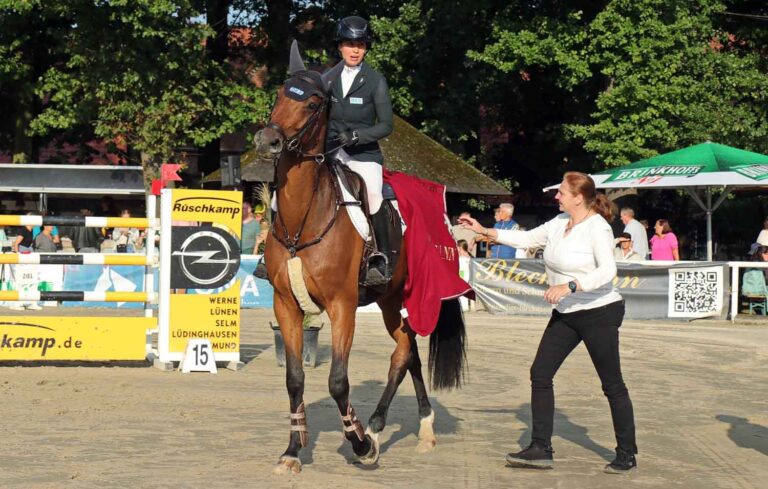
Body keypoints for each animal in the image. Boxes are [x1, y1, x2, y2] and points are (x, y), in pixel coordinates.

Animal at [254, 42, 468, 472]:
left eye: (313, 102)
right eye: (281, 94)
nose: (267, 141)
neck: (304, 218)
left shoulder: (343, 305)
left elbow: (338, 381)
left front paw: (359, 444)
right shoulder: (286, 305)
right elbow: (294, 379)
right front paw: (293, 450)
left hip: (404, 293)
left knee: (402, 353)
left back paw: (376, 430)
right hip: (388, 299)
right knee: (408, 349)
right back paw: (417, 427)